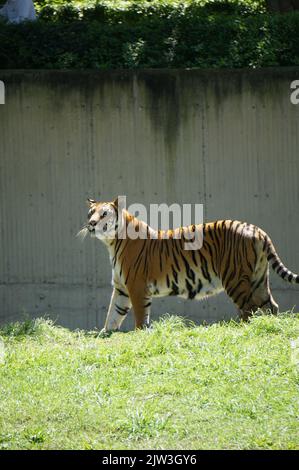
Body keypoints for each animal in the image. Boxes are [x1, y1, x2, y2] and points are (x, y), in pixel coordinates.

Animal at [78, 197, 299, 334]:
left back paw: (242, 329)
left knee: (249, 309)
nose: (91, 223)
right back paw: (271, 327)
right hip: (258, 279)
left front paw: (139, 334)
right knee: (270, 306)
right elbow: (114, 314)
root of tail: (257, 229)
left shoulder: (136, 286)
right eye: (91, 212)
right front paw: (105, 333)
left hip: (235, 279)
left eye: (104, 214)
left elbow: (140, 316)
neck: (111, 242)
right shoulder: (122, 288)